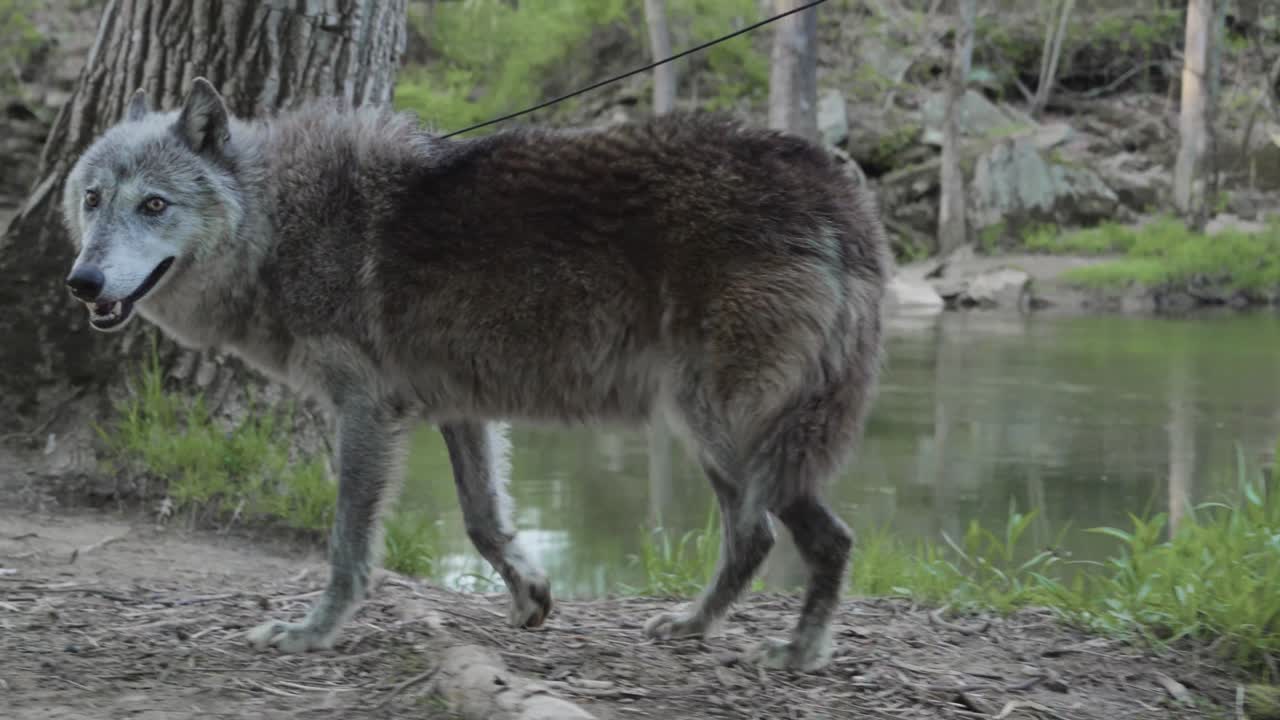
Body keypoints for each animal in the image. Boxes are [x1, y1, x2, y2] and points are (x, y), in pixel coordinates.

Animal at [61, 77, 890, 671]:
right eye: (94, 199)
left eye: (154, 205)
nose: (82, 281)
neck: (281, 222)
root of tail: (835, 183)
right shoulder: (459, 408)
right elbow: (484, 521)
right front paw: (530, 595)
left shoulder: (365, 411)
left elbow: (347, 546)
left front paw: (312, 633)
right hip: (712, 437)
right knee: (753, 537)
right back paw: (692, 625)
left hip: (735, 433)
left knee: (827, 538)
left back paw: (799, 652)